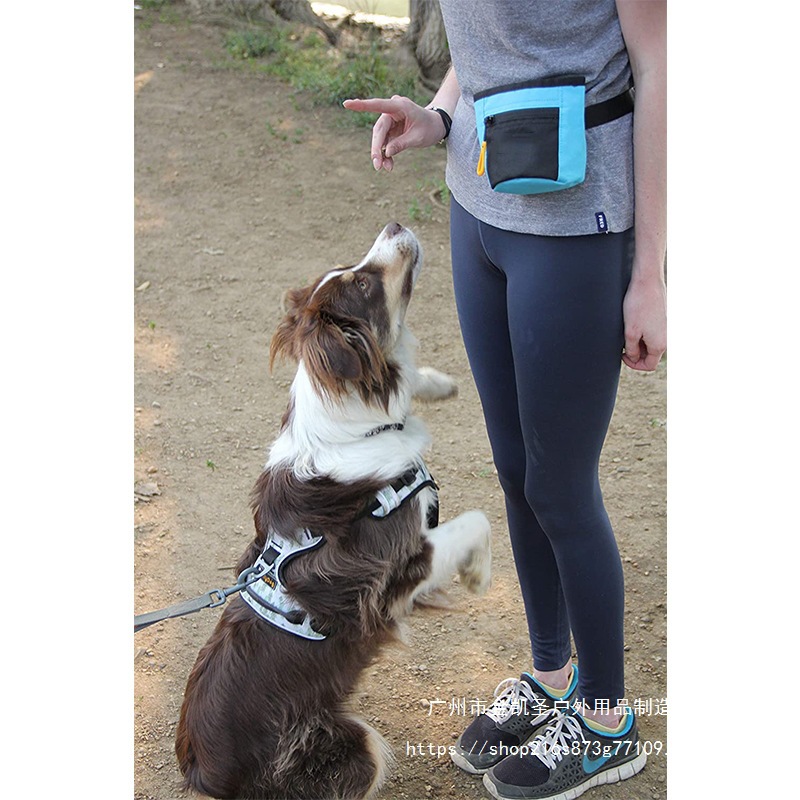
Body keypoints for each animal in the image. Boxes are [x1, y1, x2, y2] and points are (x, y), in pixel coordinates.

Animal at [175, 222, 492, 800]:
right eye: (363, 284)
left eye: (352, 268)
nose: (394, 225)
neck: (356, 427)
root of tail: (203, 775)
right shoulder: (393, 569)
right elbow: (477, 519)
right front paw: (479, 575)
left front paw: (434, 382)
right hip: (352, 747)